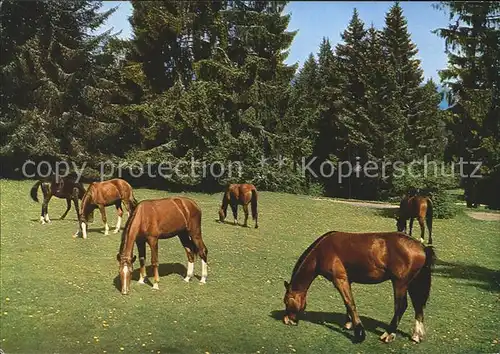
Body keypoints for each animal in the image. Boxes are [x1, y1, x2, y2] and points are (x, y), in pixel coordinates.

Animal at [284, 231, 436, 344]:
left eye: (286, 301)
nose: (287, 320)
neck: (322, 251)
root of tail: (421, 246)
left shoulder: (339, 280)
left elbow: (350, 303)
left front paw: (359, 333)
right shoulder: (347, 280)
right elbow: (348, 303)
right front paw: (348, 324)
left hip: (400, 283)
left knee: (401, 306)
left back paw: (388, 334)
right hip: (413, 283)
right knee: (418, 306)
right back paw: (416, 335)